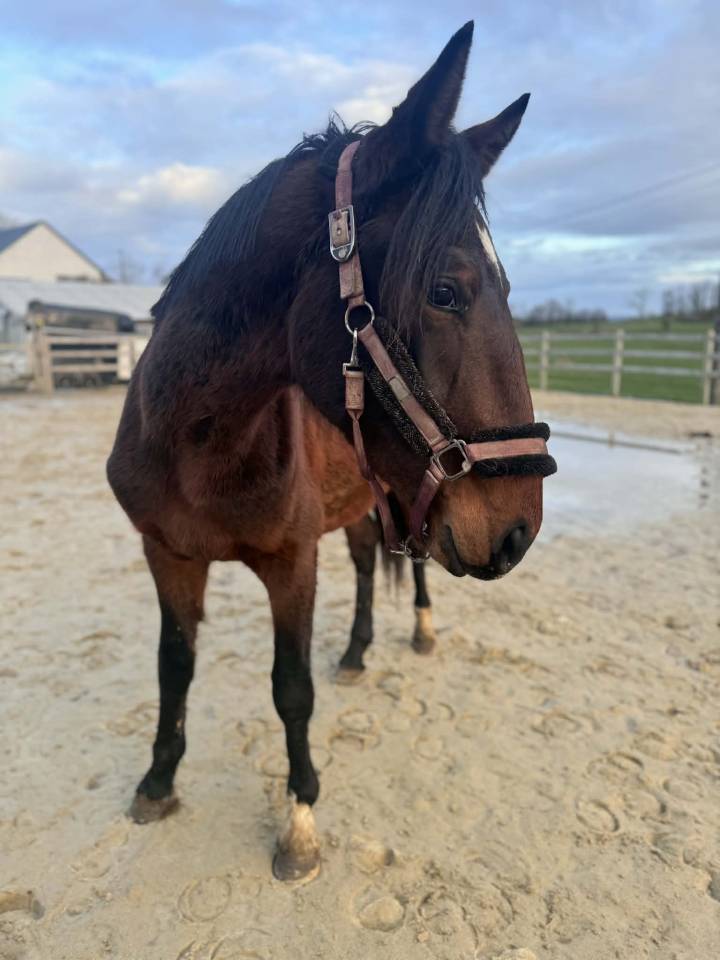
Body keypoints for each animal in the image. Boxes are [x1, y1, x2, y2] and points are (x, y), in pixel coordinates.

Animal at [107, 20, 556, 883]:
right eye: (445, 291)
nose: (518, 532)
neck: (198, 445)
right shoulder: (165, 553)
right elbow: (174, 666)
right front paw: (157, 782)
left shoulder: (292, 563)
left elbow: (290, 689)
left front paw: (300, 823)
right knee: (366, 568)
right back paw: (355, 652)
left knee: (409, 572)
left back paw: (417, 632)